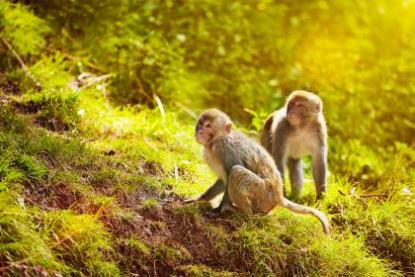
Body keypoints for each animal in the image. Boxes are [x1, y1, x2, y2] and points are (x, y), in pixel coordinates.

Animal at [193, 108, 330, 233]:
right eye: (200, 123)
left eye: (208, 125)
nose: (199, 131)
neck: (215, 142)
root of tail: (278, 195)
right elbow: (223, 181)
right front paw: (201, 198)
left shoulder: (226, 150)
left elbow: (231, 172)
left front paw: (220, 209)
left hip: (263, 193)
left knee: (236, 171)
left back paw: (246, 215)